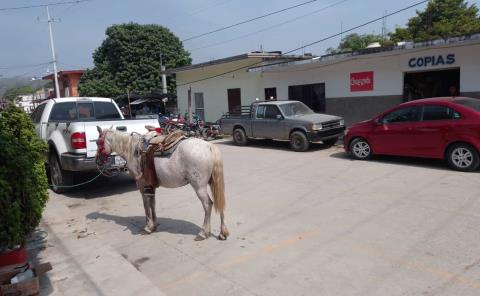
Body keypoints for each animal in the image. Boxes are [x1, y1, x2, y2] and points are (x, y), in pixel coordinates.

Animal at [95, 126, 229, 240]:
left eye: (97, 142)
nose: (98, 161)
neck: (133, 150)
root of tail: (209, 146)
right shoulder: (151, 185)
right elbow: (152, 204)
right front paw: (154, 225)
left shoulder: (141, 186)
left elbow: (146, 205)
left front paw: (148, 227)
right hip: (213, 183)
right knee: (219, 203)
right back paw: (223, 233)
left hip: (199, 187)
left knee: (208, 205)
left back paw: (203, 233)